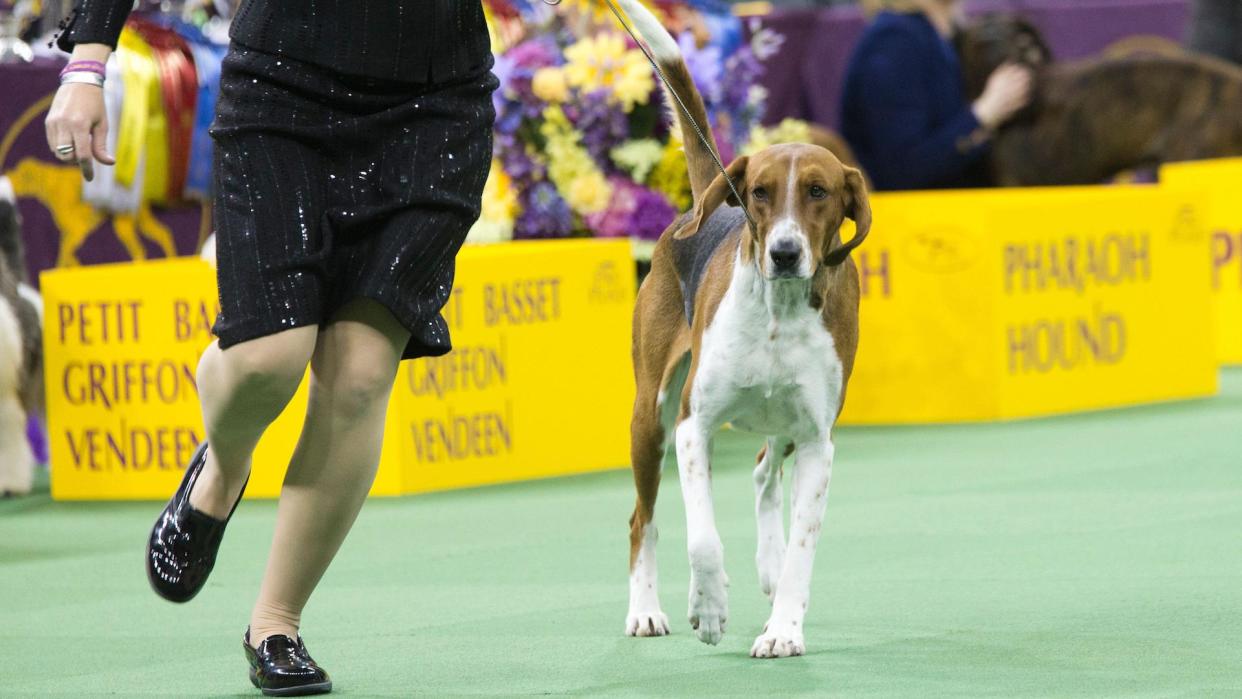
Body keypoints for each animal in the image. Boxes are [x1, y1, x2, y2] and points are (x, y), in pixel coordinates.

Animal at [616, 0, 869, 660]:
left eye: (819, 192)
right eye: (760, 193)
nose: (783, 252)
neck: (778, 311)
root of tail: (702, 204)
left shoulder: (818, 441)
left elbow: (803, 547)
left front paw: (783, 628)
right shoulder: (692, 425)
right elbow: (702, 536)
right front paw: (708, 608)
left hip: (790, 425)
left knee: (761, 472)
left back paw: (768, 565)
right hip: (650, 417)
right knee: (643, 520)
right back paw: (647, 610)